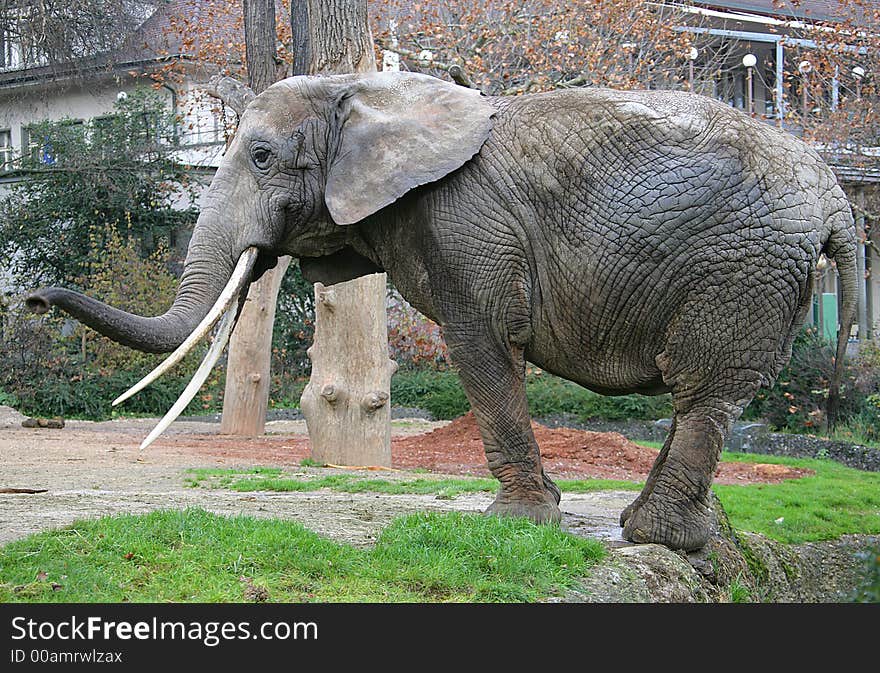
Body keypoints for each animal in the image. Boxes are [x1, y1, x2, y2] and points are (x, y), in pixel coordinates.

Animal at [25, 71, 852, 552]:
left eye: (261, 157)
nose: (32, 299)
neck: (369, 91)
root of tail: (836, 195)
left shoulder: (467, 227)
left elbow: (480, 346)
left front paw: (515, 526)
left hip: (742, 268)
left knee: (705, 390)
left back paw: (658, 537)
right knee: (707, 395)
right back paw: (666, 531)